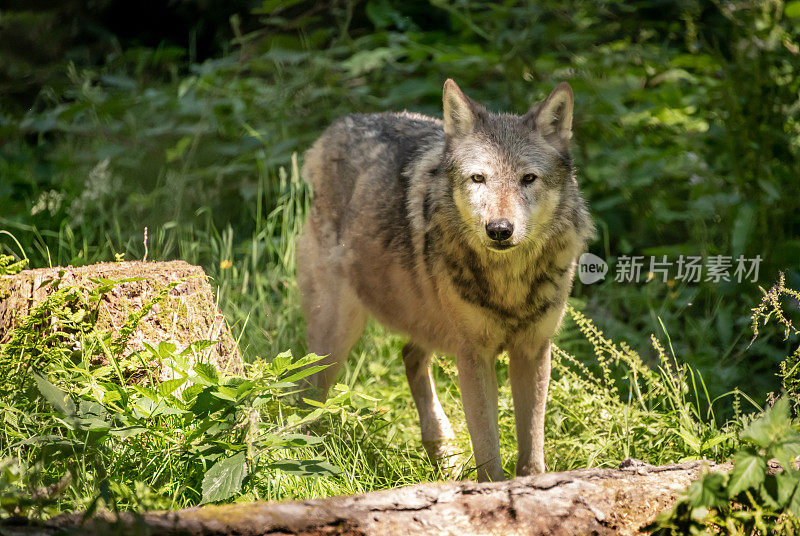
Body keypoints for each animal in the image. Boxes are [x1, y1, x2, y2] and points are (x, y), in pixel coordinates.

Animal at [296, 78, 592, 482]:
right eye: (478, 178)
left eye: (528, 179)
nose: (499, 230)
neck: (508, 281)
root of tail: (336, 127)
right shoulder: (474, 355)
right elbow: (487, 447)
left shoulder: (533, 349)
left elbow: (531, 449)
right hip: (337, 335)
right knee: (305, 394)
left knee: (409, 356)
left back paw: (444, 452)